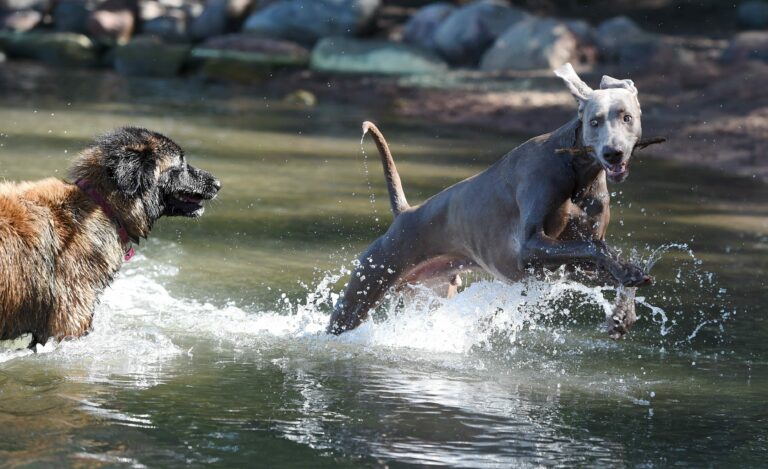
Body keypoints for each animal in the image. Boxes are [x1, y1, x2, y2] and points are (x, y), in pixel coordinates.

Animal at [330, 64, 656, 338]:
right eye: (594, 121)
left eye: (626, 117)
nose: (613, 153)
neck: (579, 171)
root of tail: (405, 213)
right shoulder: (529, 247)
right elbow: (594, 248)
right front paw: (627, 274)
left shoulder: (571, 261)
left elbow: (601, 255)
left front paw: (623, 310)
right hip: (368, 282)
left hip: (432, 289)